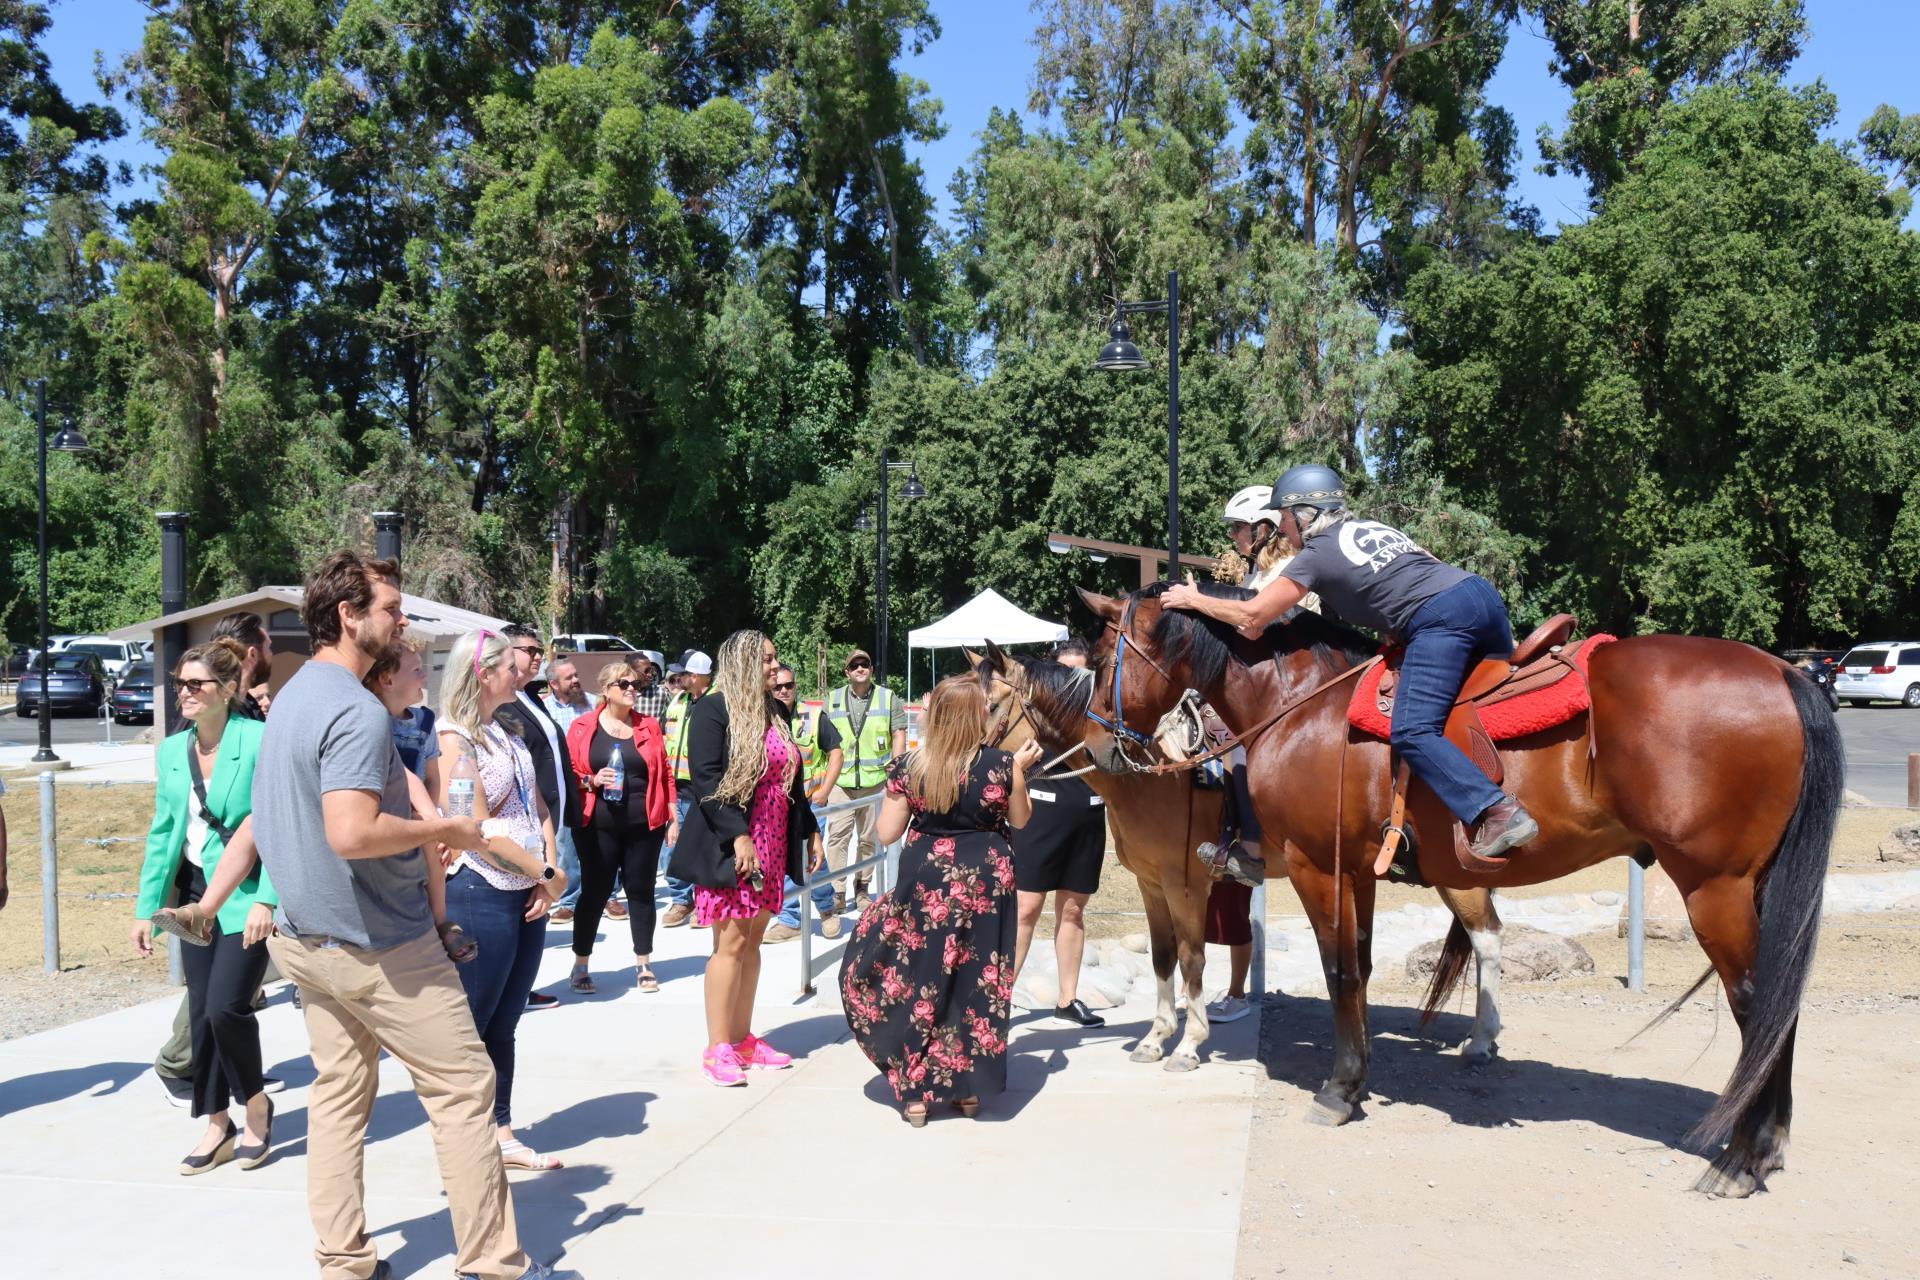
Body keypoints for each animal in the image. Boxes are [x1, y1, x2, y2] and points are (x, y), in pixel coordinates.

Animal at [975, 644, 1512, 1074]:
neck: (1152, 771)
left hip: (1456, 877)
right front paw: (1155, 1038)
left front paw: (1188, 1044)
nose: (972, 765)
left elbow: (1192, 957)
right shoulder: (1151, 884)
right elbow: (1163, 957)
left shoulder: (1185, 883)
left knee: (1487, 937)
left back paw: (1481, 1039)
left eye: (995, 704)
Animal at [1082, 587, 1843, 1197]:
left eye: (1098, 660)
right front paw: (1358, 1077)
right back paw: (1766, 1147)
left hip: (1715, 888)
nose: (1098, 748)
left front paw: (1337, 1089)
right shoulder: (1357, 872)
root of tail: (1784, 671)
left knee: (1758, 1006)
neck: (1303, 705)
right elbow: (1358, 969)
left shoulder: (1315, 867)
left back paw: (1742, 1158)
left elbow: (1338, 971)